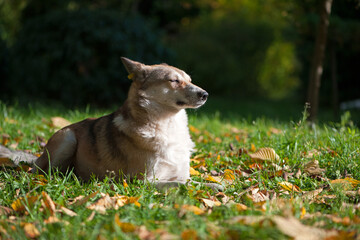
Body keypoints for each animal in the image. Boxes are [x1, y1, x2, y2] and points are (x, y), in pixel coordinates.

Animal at [0, 58, 222, 191]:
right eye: (174, 81)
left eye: (189, 80)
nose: (205, 94)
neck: (167, 124)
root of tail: (36, 158)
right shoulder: (143, 181)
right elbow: (180, 185)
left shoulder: (181, 173)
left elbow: (193, 182)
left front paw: (217, 185)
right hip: (67, 138)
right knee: (44, 173)